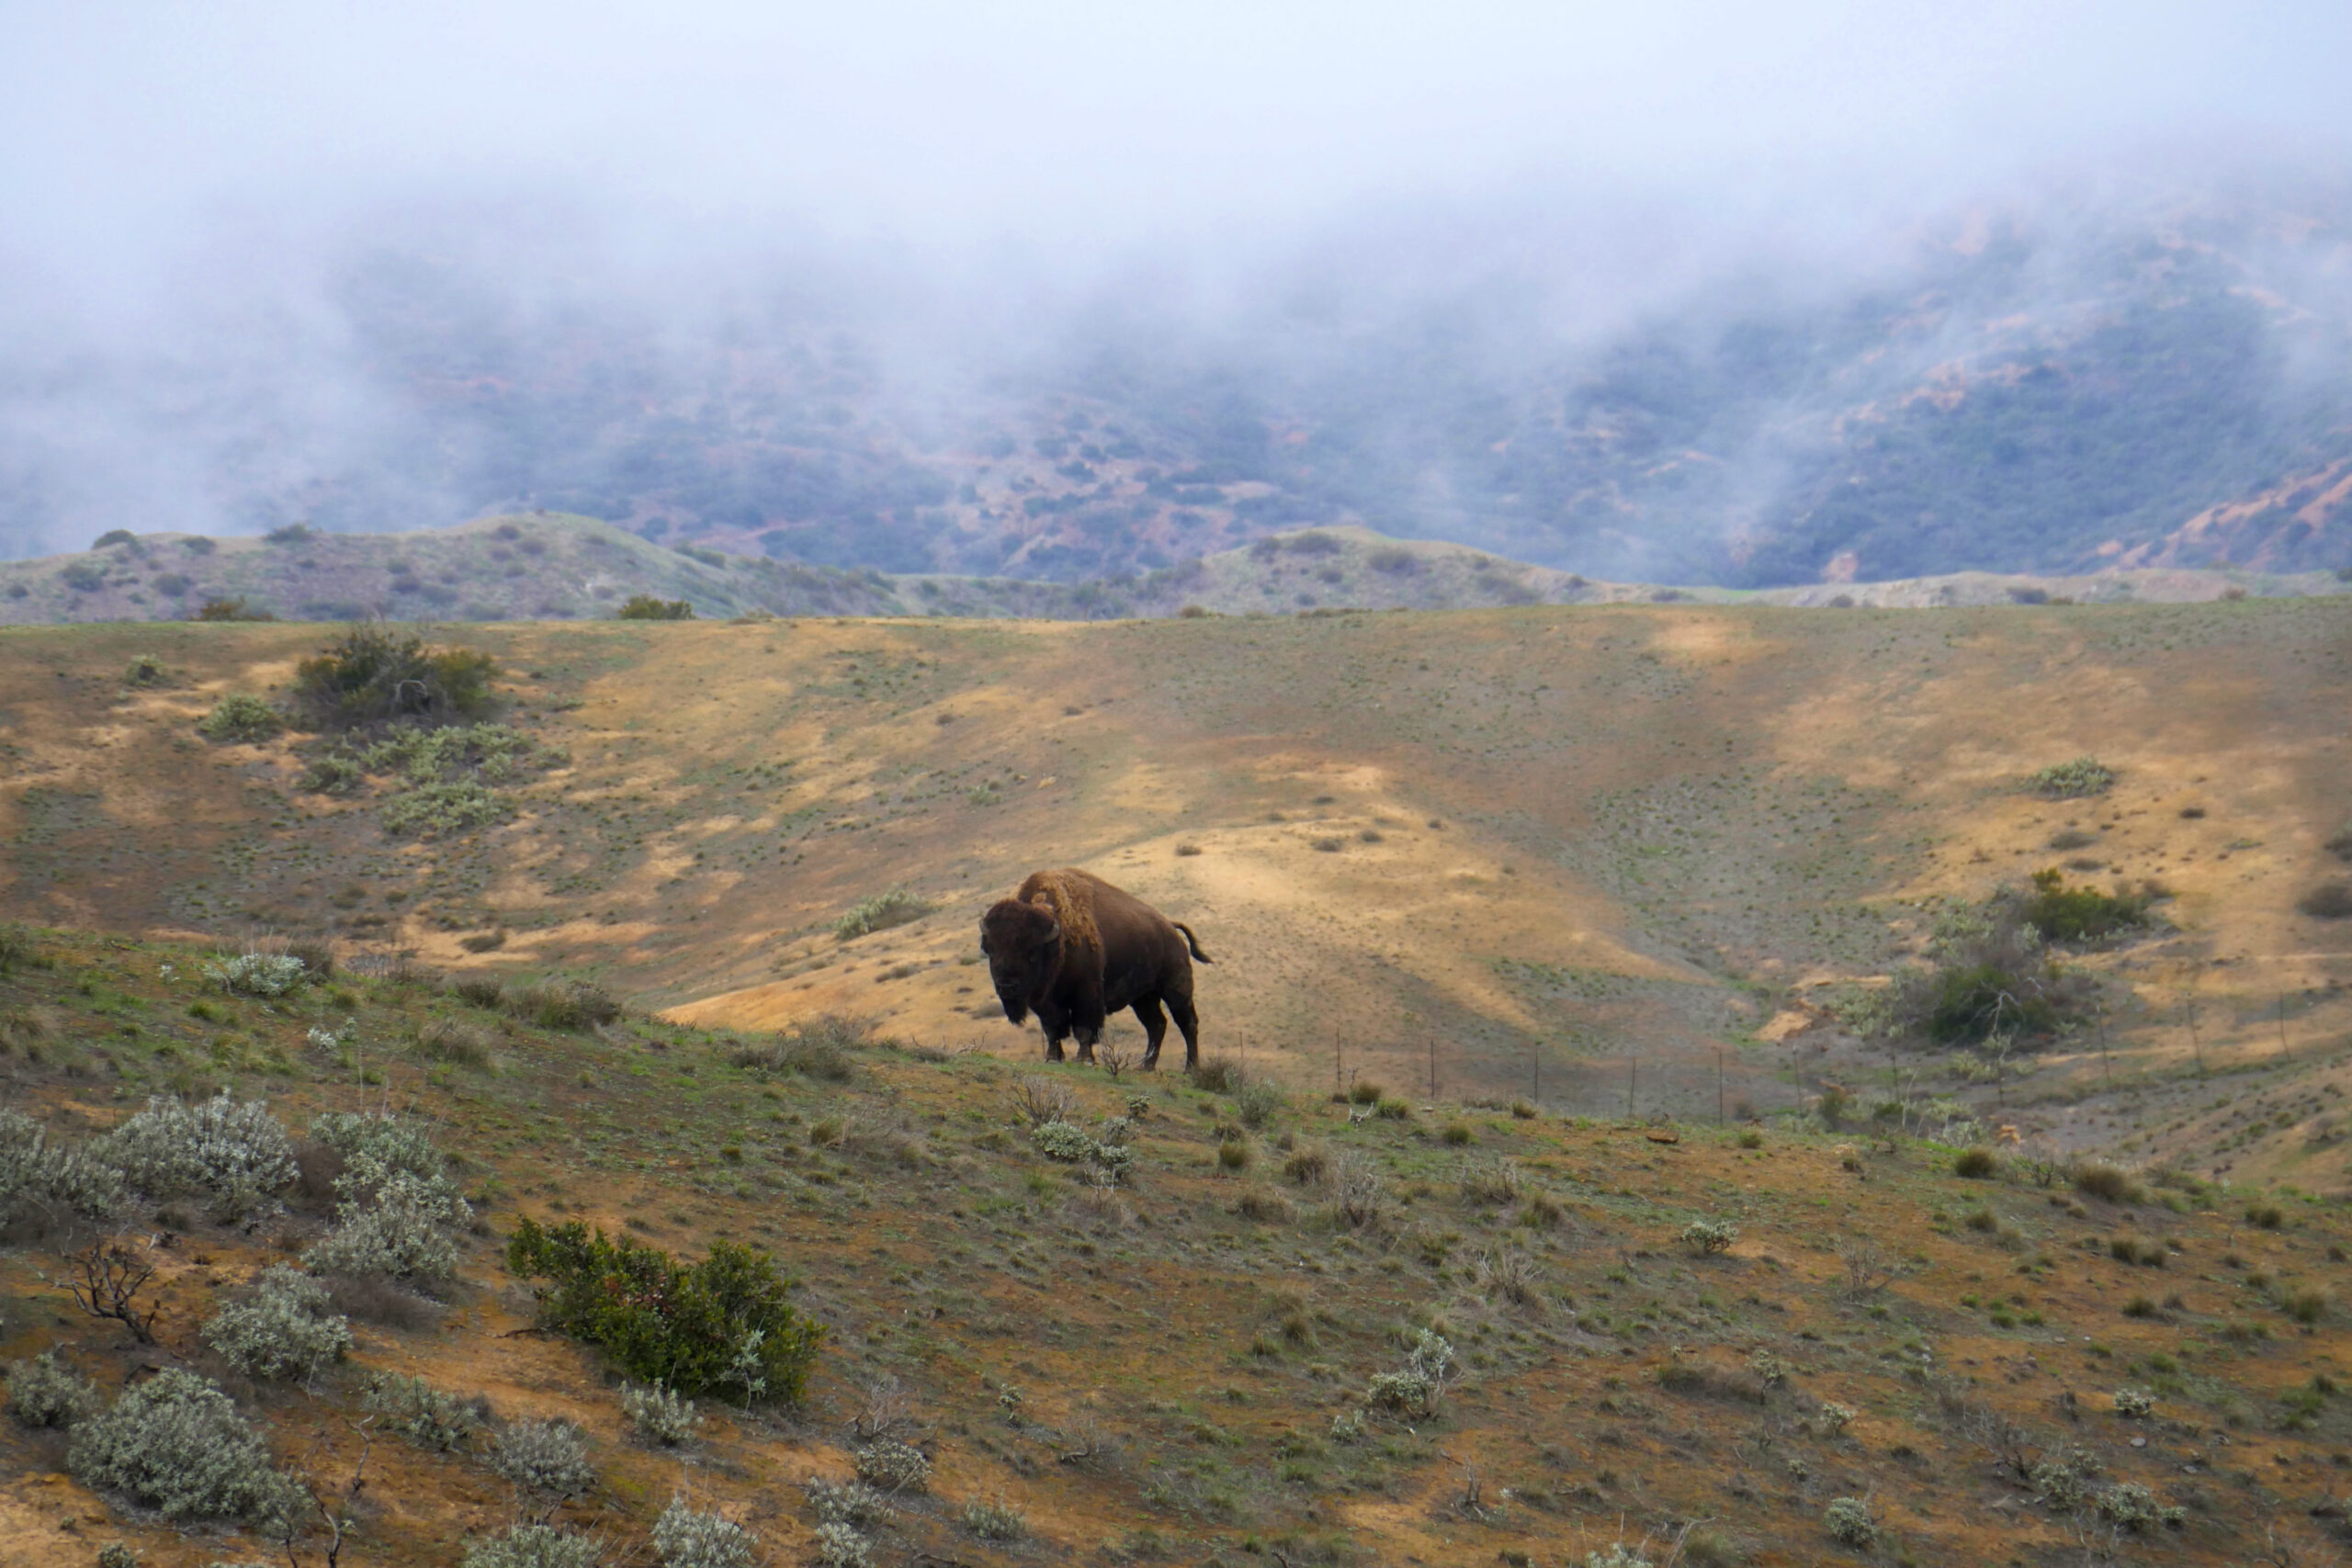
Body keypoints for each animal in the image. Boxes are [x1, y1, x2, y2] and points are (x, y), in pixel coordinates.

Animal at [983, 864, 1213, 1072]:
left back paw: (1191, 1069)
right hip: (1143, 998)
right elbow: (1052, 1029)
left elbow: (1083, 1029)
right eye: (991, 950)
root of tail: (1170, 927)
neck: (1057, 940)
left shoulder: (1086, 993)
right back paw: (1145, 1066)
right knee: (1156, 1025)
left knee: (1187, 1023)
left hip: (1176, 989)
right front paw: (1052, 1058)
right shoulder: (1045, 1002)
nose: (1006, 987)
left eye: (1031, 952)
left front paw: (1085, 1060)